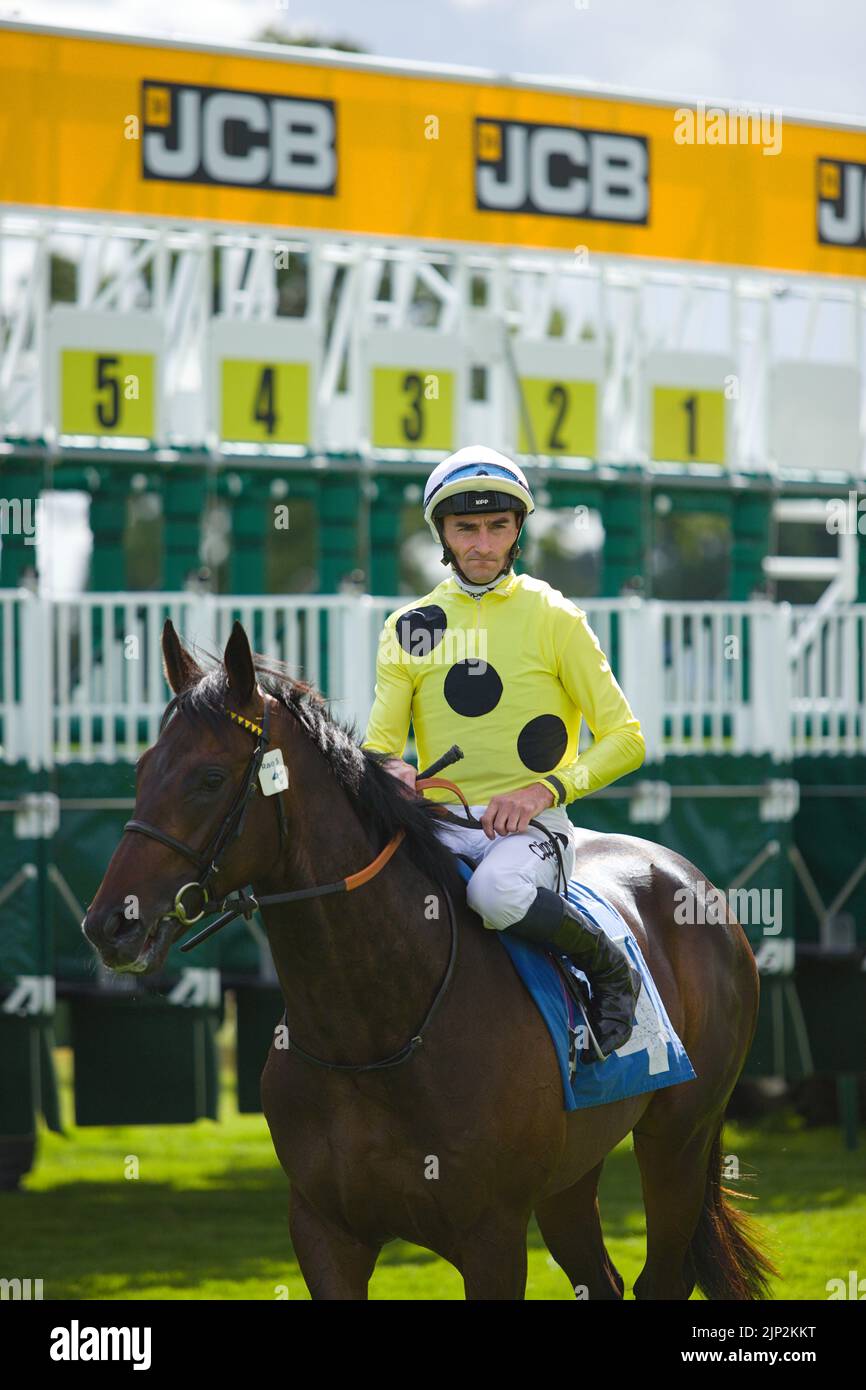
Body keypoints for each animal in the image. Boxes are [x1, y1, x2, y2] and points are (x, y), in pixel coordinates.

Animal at [83, 625, 778, 1295]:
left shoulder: (492, 1237)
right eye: (141, 771)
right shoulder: (323, 1231)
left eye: (209, 779)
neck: (372, 1034)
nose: (109, 923)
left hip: (678, 1139)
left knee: (664, 1275)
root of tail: (686, 874)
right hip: (573, 1170)